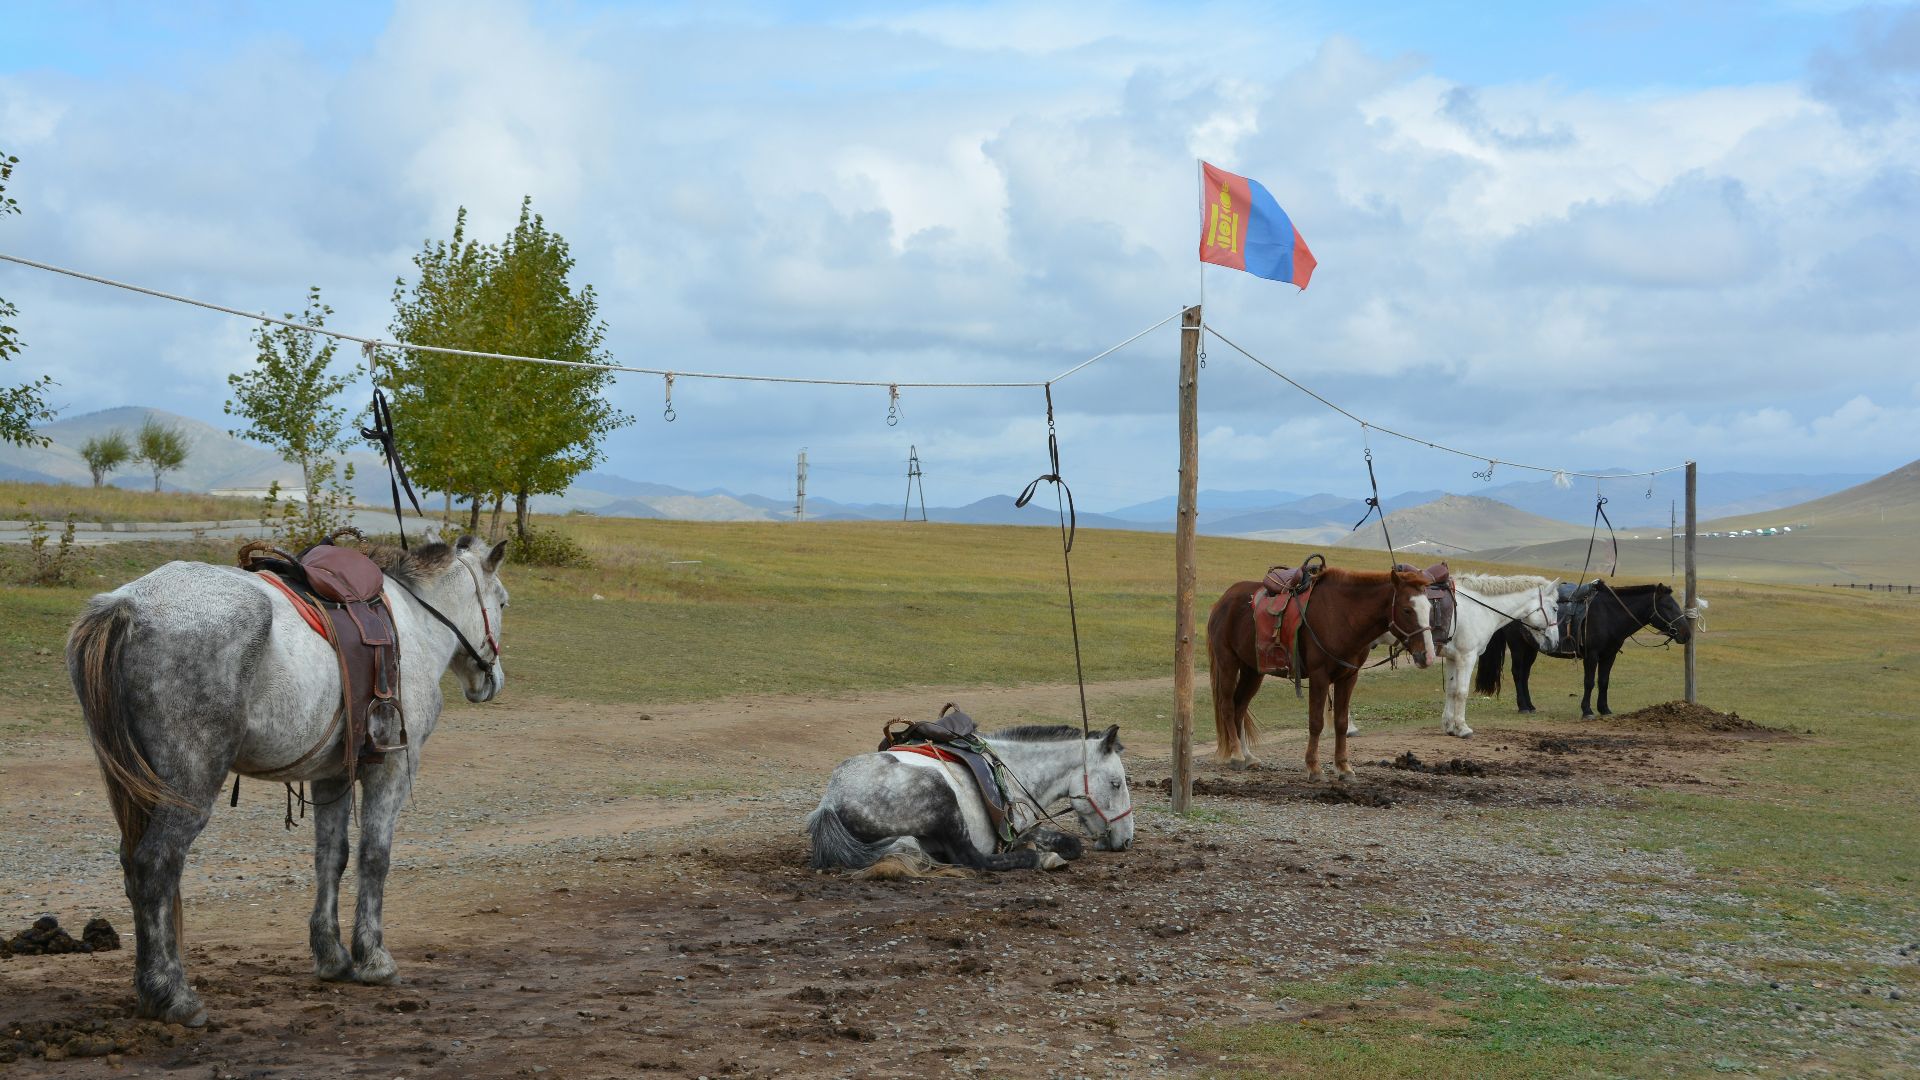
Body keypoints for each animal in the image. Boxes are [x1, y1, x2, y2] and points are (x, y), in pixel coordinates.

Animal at [66, 536, 508, 1026]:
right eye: (503, 602)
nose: (492, 680)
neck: (415, 619)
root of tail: (127, 604)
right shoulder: (393, 767)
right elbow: (375, 857)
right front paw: (374, 958)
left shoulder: (333, 776)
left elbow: (331, 857)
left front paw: (332, 956)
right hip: (190, 785)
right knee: (154, 864)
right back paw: (173, 995)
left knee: (132, 867)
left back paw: (151, 990)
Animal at [807, 723, 1134, 876]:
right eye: (1116, 784)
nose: (1127, 841)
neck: (1013, 770)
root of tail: (830, 801)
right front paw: (1045, 855)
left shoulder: (1022, 830)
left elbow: (1071, 843)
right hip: (941, 796)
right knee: (972, 859)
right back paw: (1034, 858)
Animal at [1207, 565, 1437, 780]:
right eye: (1407, 610)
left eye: (1429, 608)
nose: (1427, 656)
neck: (1342, 615)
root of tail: (1223, 601)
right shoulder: (1319, 676)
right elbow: (1316, 722)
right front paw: (1314, 767)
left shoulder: (1348, 677)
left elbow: (1341, 723)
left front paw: (1344, 767)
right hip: (1228, 662)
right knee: (1228, 706)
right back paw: (1237, 755)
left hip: (1253, 671)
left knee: (1239, 706)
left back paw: (1247, 756)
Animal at [1433, 573, 1561, 738]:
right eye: (1555, 608)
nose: (1555, 642)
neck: (1478, 608)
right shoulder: (1466, 657)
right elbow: (1462, 692)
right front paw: (1462, 728)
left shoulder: (1452, 657)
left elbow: (1451, 689)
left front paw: (1449, 726)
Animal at [1475, 582, 1696, 718]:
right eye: (1668, 607)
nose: (1686, 633)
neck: (1610, 613)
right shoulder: (1592, 654)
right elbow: (1589, 682)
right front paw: (1587, 710)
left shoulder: (1609, 655)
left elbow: (1604, 681)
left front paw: (1605, 709)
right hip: (1518, 647)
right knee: (1518, 673)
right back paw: (1523, 707)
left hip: (1532, 649)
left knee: (1525, 675)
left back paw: (1530, 706)